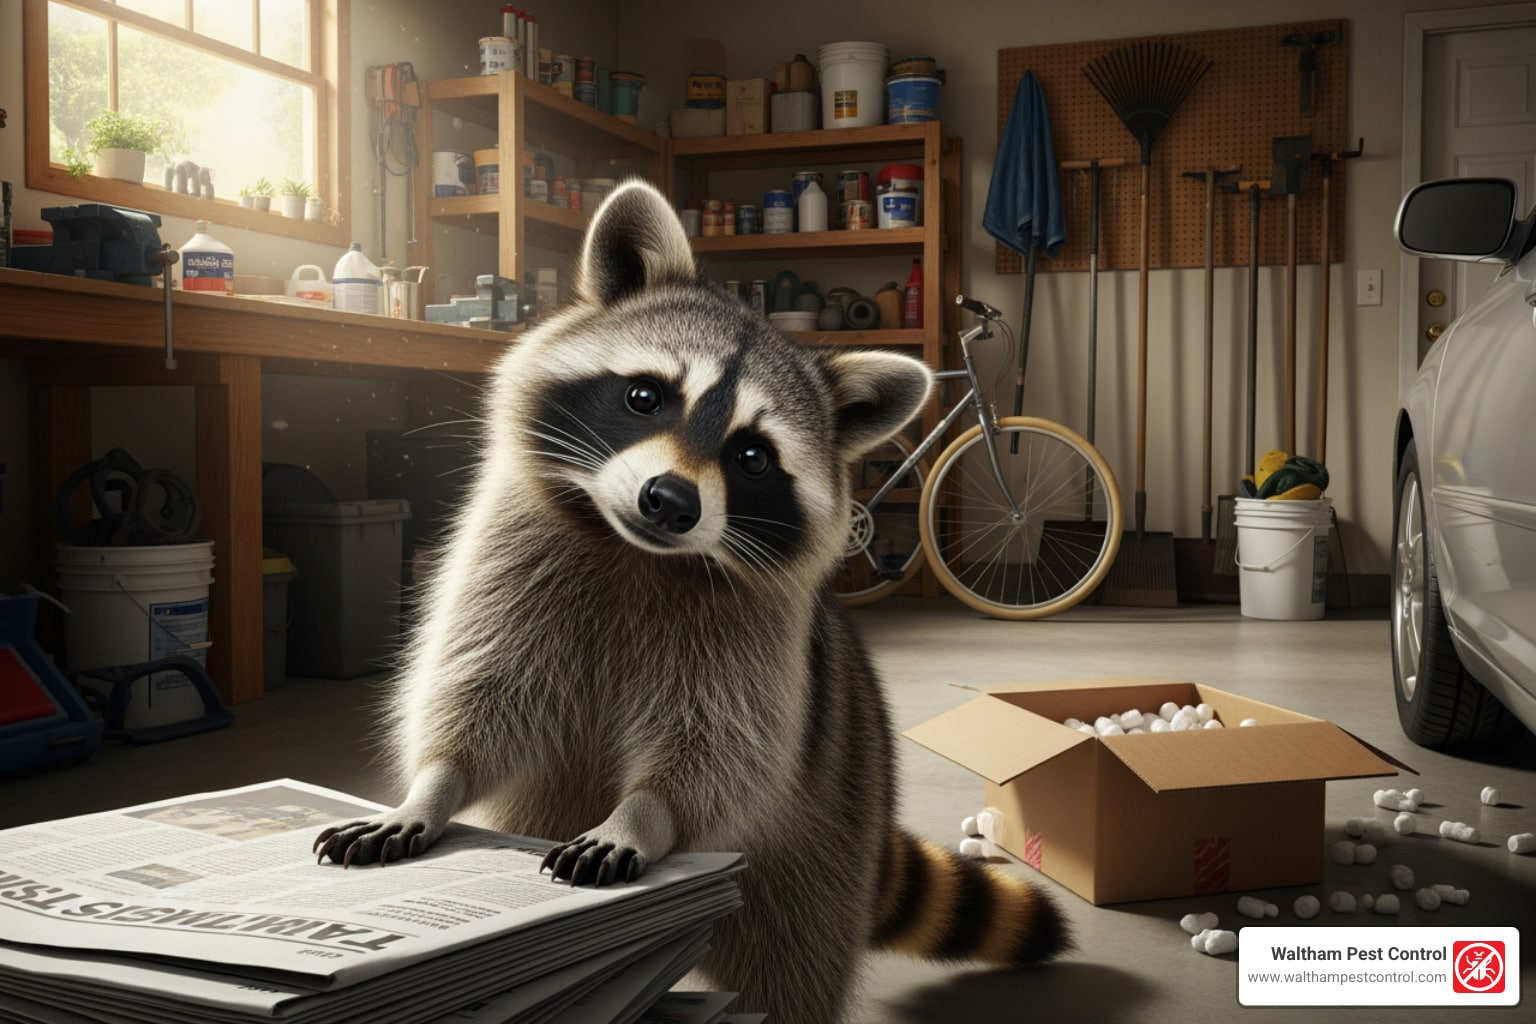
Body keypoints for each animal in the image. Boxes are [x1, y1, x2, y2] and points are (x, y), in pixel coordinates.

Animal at [315, 179, 1069, 1023]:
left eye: (753, 456)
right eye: (645, 395)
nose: (671, 501)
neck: (637, 552)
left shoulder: (754, 643)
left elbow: (718, 748)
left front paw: (642, 815)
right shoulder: (507, 573)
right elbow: (477, 698)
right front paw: (431, 789)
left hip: (824, 840)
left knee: (792, 968)